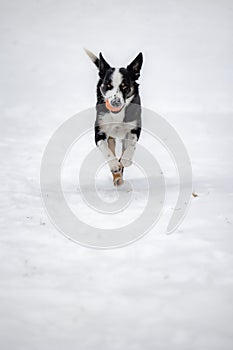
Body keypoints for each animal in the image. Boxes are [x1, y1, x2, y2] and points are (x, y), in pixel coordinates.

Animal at [84, 49, 142, 186]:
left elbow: (132, 144)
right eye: (108, 85)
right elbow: (106, 150)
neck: (117, 115)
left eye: (125, 86)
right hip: (111, 137)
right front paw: (114, 165)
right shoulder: (100, 131)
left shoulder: (134, 127)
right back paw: (117, 176)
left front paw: (126, 159)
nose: (115, 102)